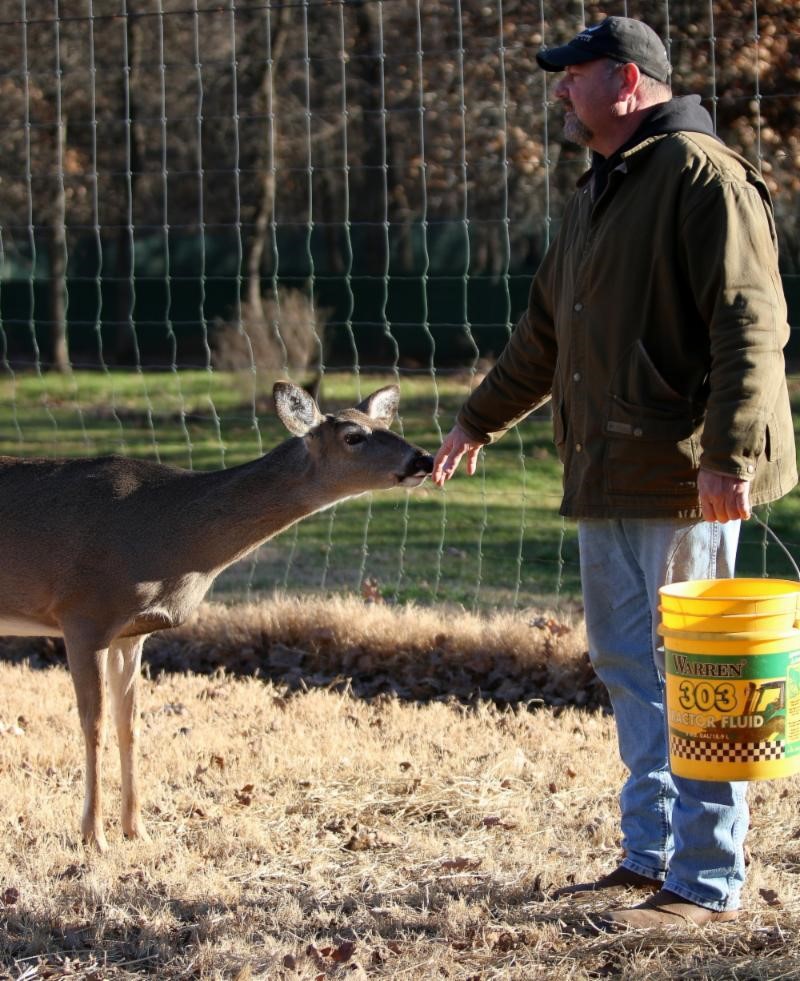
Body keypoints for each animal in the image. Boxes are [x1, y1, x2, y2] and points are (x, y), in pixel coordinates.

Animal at [0, 381, 433, 851]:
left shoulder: (131, 633)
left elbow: (129, 724)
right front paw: (93, 838)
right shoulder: (83, 613)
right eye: (354, 436)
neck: (168, 535)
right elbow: (92, 725)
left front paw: (137, 830)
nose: (423, 459)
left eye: (384, 424)